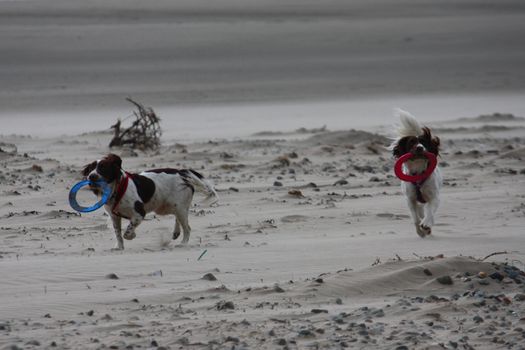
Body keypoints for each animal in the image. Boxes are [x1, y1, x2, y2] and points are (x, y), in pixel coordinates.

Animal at [82, 153, 217, 249]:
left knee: (187, 228)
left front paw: (131, 235)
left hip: (178, 206)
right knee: (177, 218)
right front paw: (119, 247)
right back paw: (176, 233)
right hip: (167, 207)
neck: (116, 190)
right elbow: (118, 233)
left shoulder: (139, 213)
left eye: (103, 168)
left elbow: (127, 231)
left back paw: (183, 243)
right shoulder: (114, 216)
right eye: (90, 169)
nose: (91, 176)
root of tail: (181, 173)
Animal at [388, 108, 442, 237]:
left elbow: (430, 212)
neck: (418, 173)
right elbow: (416, 218)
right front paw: (420, 231)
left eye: (424, 142)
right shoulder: (410, 199)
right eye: (412, 143)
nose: (419, 148)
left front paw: (426, 225)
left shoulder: (434, 197)